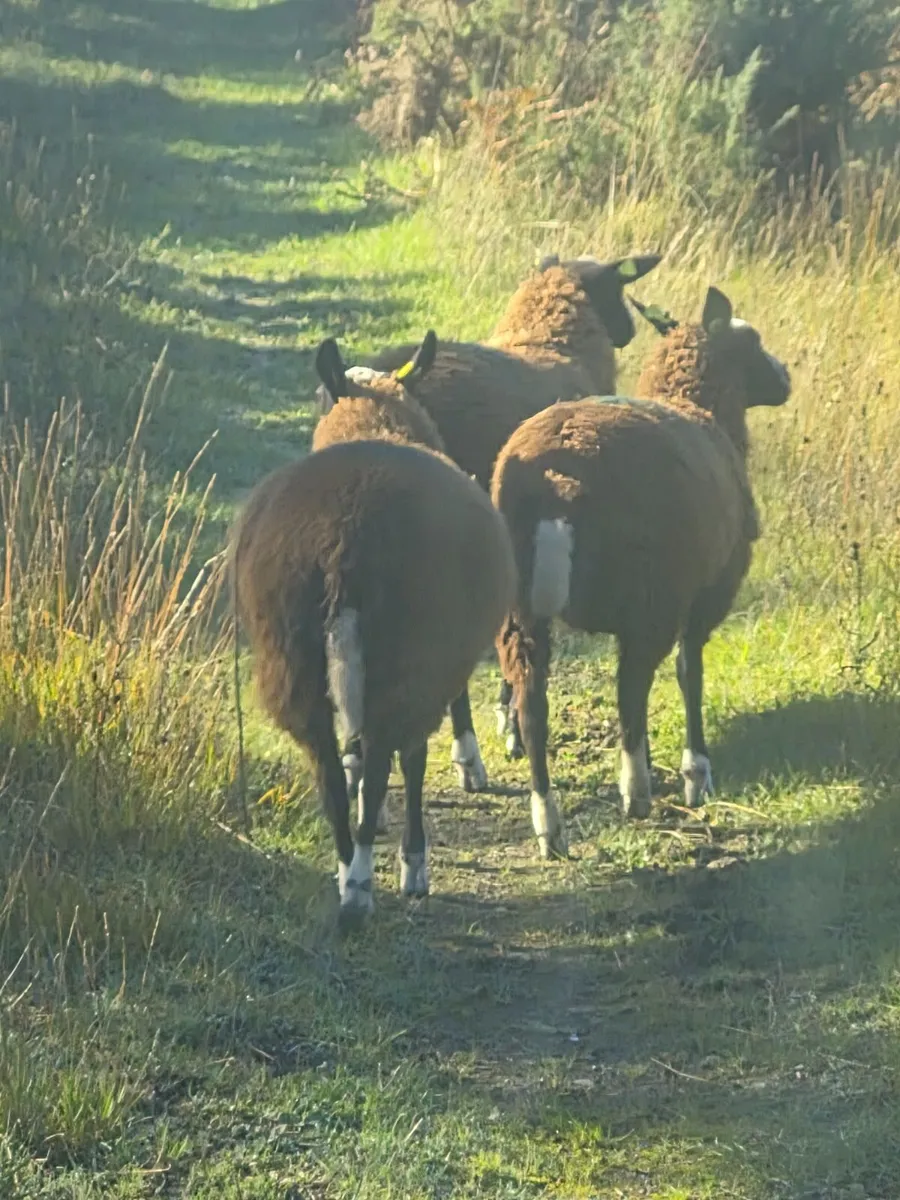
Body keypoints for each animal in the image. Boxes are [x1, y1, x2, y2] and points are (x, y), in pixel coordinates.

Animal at [232, 333, 516, 927]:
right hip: (411, 652)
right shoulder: (445, 649)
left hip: (290, 656)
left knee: (326, 763)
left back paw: (347, 870)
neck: (373, 423)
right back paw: (372, 879)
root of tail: (344, 534)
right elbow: (416, 752)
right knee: (394, 750)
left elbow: (354, 753)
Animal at [490, 286, 791, 858]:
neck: (701, 405)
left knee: (532, 703)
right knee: (631, 685)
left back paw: (549, 824)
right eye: (752, 341)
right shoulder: (706, 593)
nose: (785, 378)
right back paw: (637, 791)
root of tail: (553, 479)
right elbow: (690, 672)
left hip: (520, 612)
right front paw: (697, 772)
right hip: (650, 595)